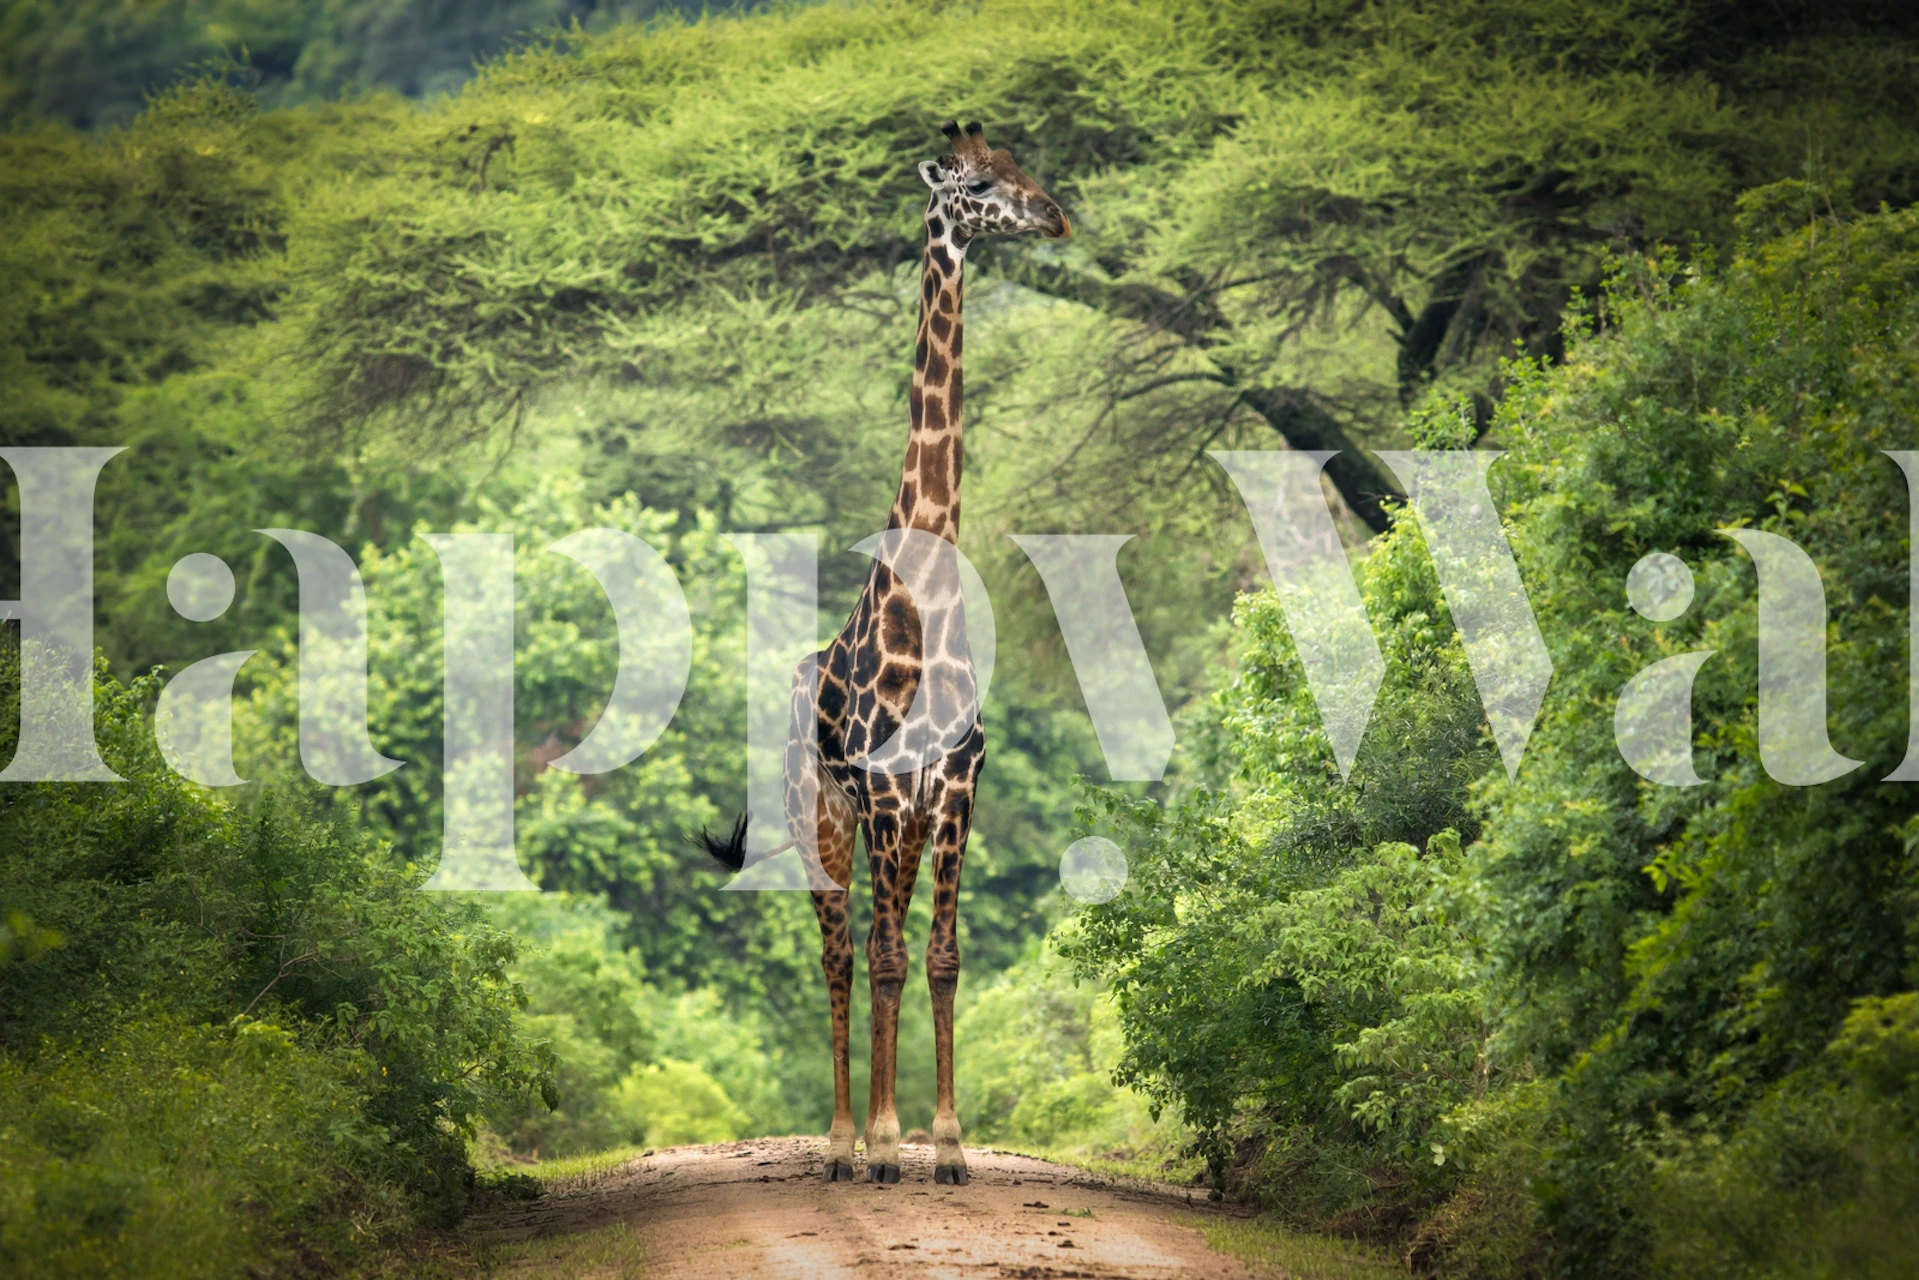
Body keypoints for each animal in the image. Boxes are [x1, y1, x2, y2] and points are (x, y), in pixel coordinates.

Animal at [697, 120, 1069, 1186]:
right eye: (978, 184)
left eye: (1021, 164)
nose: (1054, 216)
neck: (928, 593)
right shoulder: (888, 791)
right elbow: (889, 956)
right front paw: (893, 1141)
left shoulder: (955, 783)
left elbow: (938, 957)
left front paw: (944, 1144)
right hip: (818, 814)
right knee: (840, 950)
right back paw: (840, 1144)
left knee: (871, 944)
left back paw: (869, 1137)